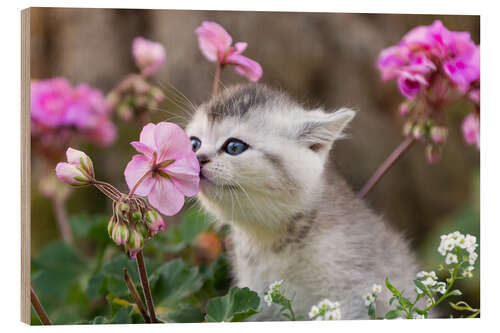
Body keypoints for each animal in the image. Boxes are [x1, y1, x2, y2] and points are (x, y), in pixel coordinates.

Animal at [184, 83, 418, 320]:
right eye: (194, 143)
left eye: (234, 147)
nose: (198, 158)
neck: (271, 243)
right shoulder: (257, 299)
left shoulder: (354, 294)